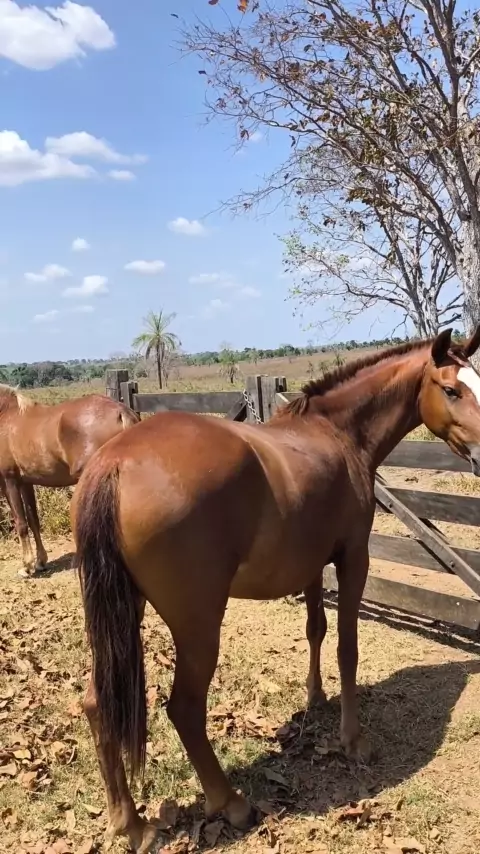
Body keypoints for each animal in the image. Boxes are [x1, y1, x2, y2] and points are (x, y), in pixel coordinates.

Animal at [0, 385, 139, 576]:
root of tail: (121, 411)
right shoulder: (26, 483)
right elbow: (33, 520)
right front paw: (40, 562)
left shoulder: (9, 481)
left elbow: (21, 523)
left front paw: (26, 566)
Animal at [72, 327, 480, 853]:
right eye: (451, 389)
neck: (338, 433)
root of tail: (114, 461)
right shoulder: (353, 558)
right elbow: (347, 647)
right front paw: (353, 740)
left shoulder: (312, 565)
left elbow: (316, 629)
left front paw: (315, 697)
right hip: (198, 624)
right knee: (184, 708)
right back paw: (230, 803)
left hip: (123, 615)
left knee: (97, 703)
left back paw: (131, 823)